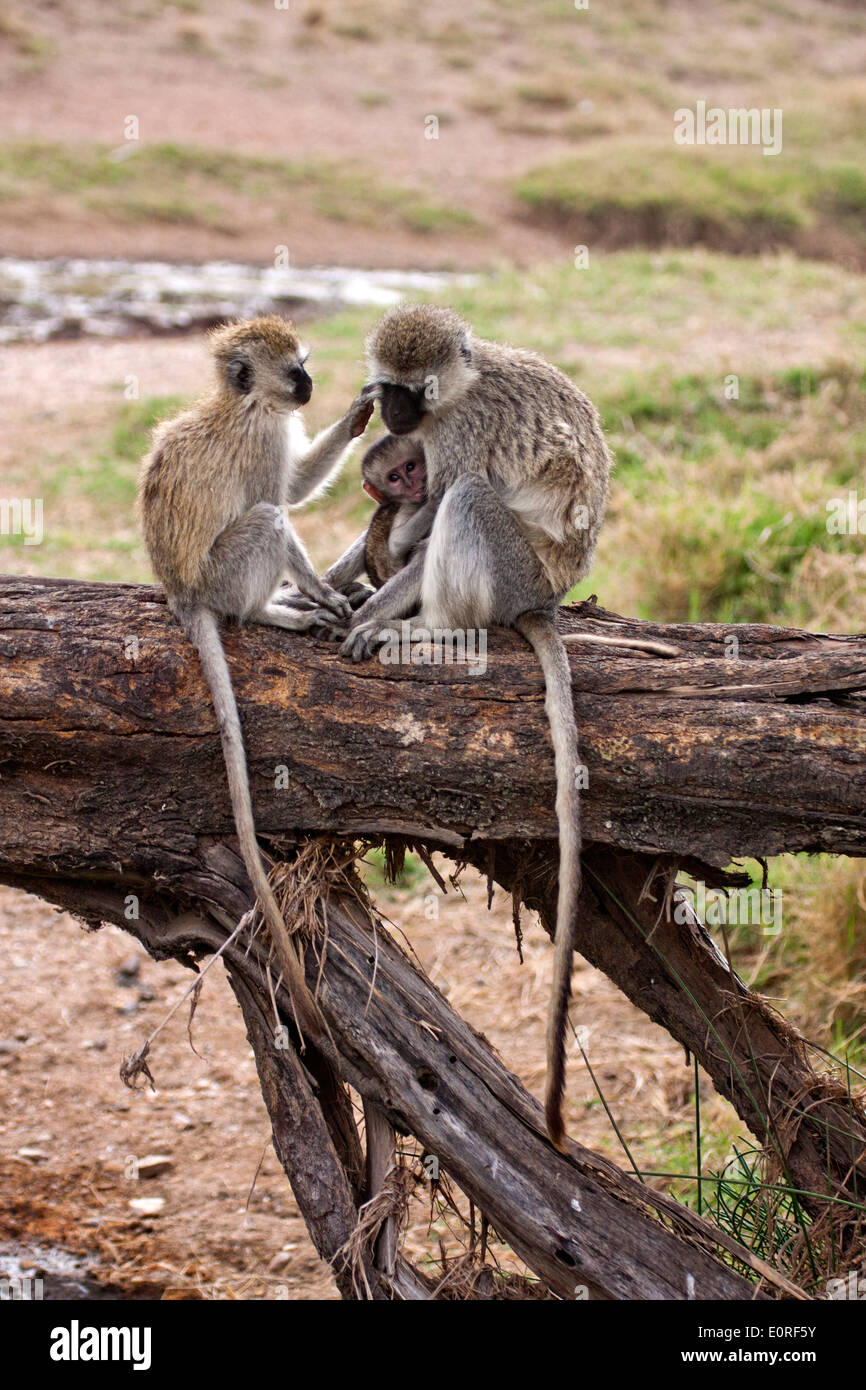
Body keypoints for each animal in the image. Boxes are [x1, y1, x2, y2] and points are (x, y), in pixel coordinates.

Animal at [138, 314, 373, 1042]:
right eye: (294, 370)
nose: (311, 386)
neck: (248, 404)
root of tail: (184, 594)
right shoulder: (264, 440)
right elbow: (282, 499)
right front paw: (321, 590)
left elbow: (295, 490)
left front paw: (359, 414)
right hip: (225, 574)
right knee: (266, 524)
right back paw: (279, 610)